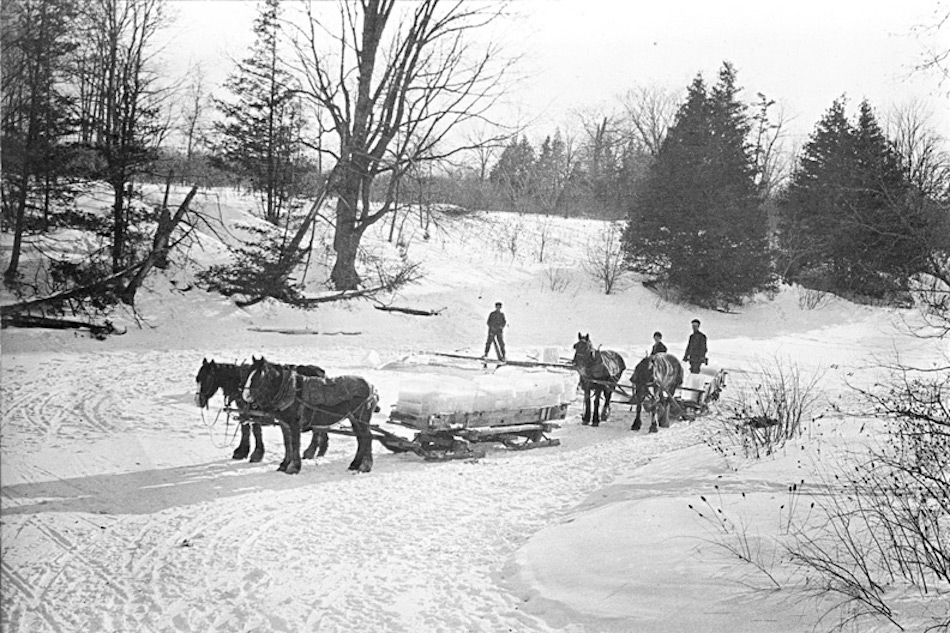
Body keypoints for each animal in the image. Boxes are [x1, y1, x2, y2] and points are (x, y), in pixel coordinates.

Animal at [193, 358, 330, 462]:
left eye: (208, 378)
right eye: (197, 378)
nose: (198, 400)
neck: (241, 382)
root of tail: (321, 372)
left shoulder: (254, 412)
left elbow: (256, 431)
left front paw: (257, 453)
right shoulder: (243, 411)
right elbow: (245, 429)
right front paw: (242, 451)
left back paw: (311, 451)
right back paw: (321, 450)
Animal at [242, 356, 380, 474]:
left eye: (258, 376)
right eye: (248, 374)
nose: (245, 396)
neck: (291, 390)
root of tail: (371, 387)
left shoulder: (294, 424)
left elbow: (295, 443)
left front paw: (293, 467)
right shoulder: (284, 423)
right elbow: (288, 444)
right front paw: (284, 464)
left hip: (361, 418)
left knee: (367, 437)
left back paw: (365, 466)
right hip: (354, 418)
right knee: (360, 438)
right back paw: (355, 464)